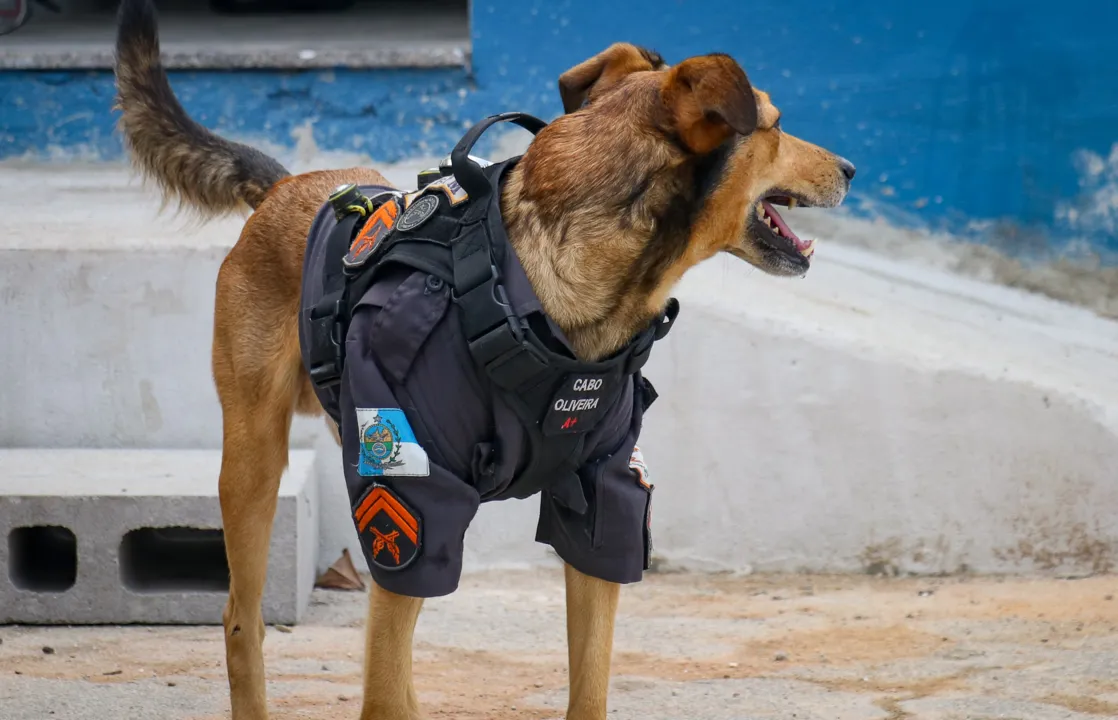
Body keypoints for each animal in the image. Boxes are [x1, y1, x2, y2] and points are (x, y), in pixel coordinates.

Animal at [113, 0, 849, 715]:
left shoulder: (606, 499)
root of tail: (283, 188)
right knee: (244, 622)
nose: (849, 170)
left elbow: (588, 684)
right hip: (255, 459)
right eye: (775, 125)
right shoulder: (411, 499)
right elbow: (382, 692)